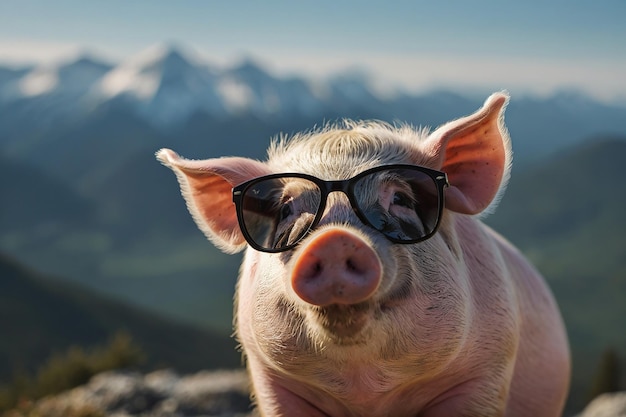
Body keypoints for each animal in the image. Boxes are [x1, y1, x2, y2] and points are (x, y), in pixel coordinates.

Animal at [157, 92, 572, 416]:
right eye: (287, 208)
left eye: (401, 199)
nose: (336, 239)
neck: (365, 391)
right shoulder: (271, 380)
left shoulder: (485, 373)